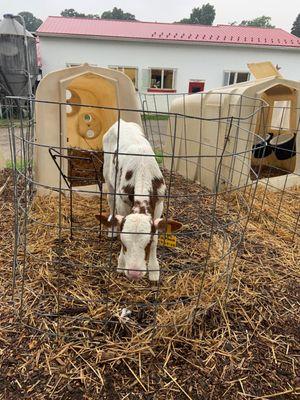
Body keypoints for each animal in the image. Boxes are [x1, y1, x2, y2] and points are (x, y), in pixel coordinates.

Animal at [96, 119, 180, 282]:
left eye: (147, 243)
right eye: (123, 243)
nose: (134, 273)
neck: (142, 170)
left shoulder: (159, 203)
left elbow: (156, 236)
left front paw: (154, 270)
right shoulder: (122, 201)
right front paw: (121, 263)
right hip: (108, 178)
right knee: (110, 199)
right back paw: (111, 230)